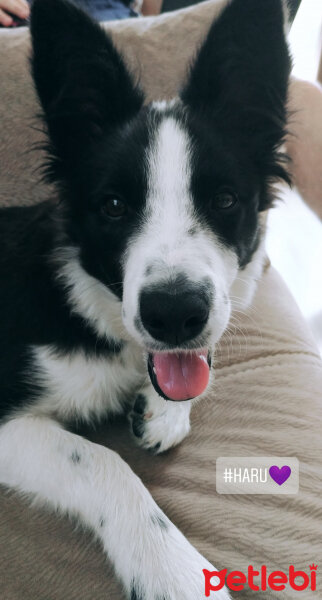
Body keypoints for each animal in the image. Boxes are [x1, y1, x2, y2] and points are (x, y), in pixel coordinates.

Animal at [0, 0, 292, 596]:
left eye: (224, 200)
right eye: (113, 205)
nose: (174, 316)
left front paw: (162, 411)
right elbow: (104, 461)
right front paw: (175, 571)